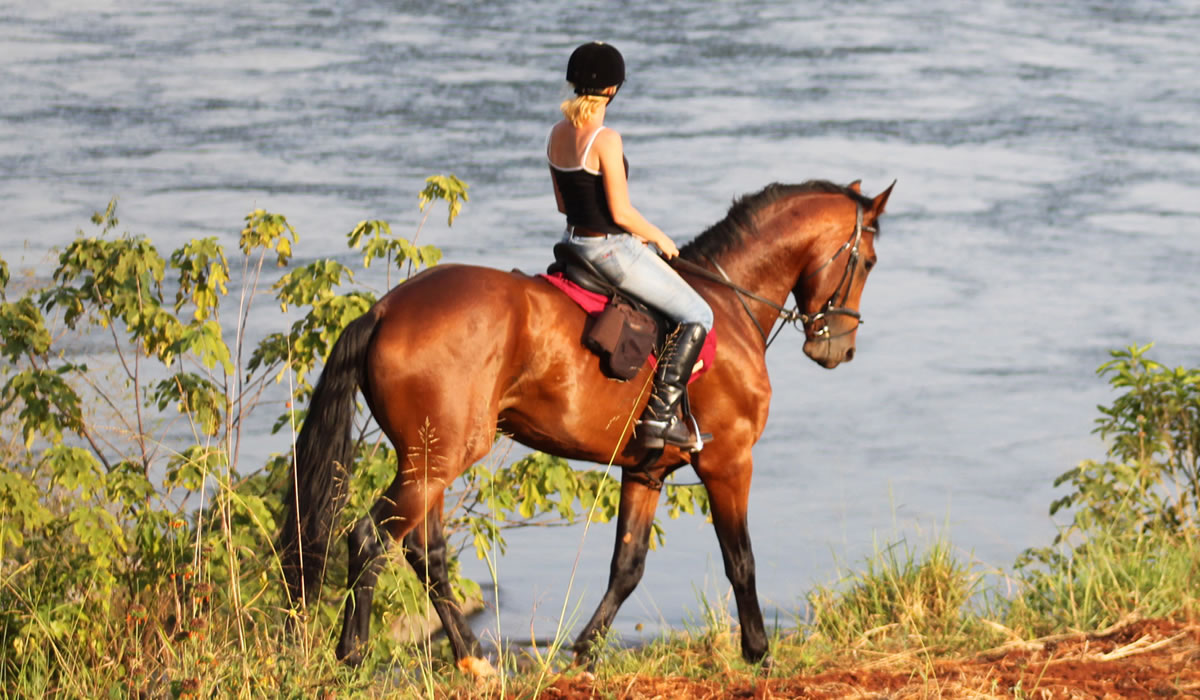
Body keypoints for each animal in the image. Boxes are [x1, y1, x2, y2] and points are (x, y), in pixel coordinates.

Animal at [280, 177, 892, 672]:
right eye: (866, 261)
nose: (839, 348)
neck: (728, 302)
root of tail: (385, 311)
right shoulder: (728, 461)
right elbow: (741, 561)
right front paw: (759, 653)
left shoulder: (647, 471)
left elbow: (628, 565)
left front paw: (585, 652)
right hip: (438, 458)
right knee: (370, 539)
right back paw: (353, 655)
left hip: (427, 458)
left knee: (422, 552)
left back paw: (474, 661)